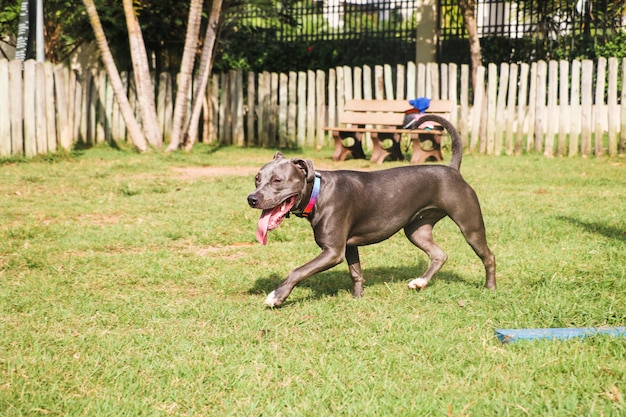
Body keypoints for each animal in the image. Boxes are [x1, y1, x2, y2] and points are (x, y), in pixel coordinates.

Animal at [246, 114, 494, 306]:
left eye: (277, 180)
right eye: (257, 178)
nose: (252, 198)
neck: (317, 192)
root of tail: (453, 169)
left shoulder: (332, 251)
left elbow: (298, 270)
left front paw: (277, 296)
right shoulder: (349, 246)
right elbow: (356, 273)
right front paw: (358, 298)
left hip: (470, 226)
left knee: (488, 256)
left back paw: (490, 288)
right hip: (417, 230)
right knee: (438, 255)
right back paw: (420, 282)